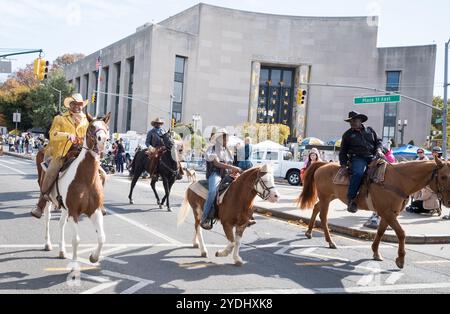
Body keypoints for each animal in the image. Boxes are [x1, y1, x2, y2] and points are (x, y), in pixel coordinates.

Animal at [296, 156, 450, 268]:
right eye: (443, 176)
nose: (448, 202)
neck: (398, 180)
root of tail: (323, 165)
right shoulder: (388, 213)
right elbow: (401, 233)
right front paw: (400, 259)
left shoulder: (389, 213)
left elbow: (381, 232)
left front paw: (376, 252)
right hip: (325, 197)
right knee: (323, 216)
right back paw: (330, 242)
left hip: (330, 197)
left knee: (316, 208)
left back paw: (309, 232)